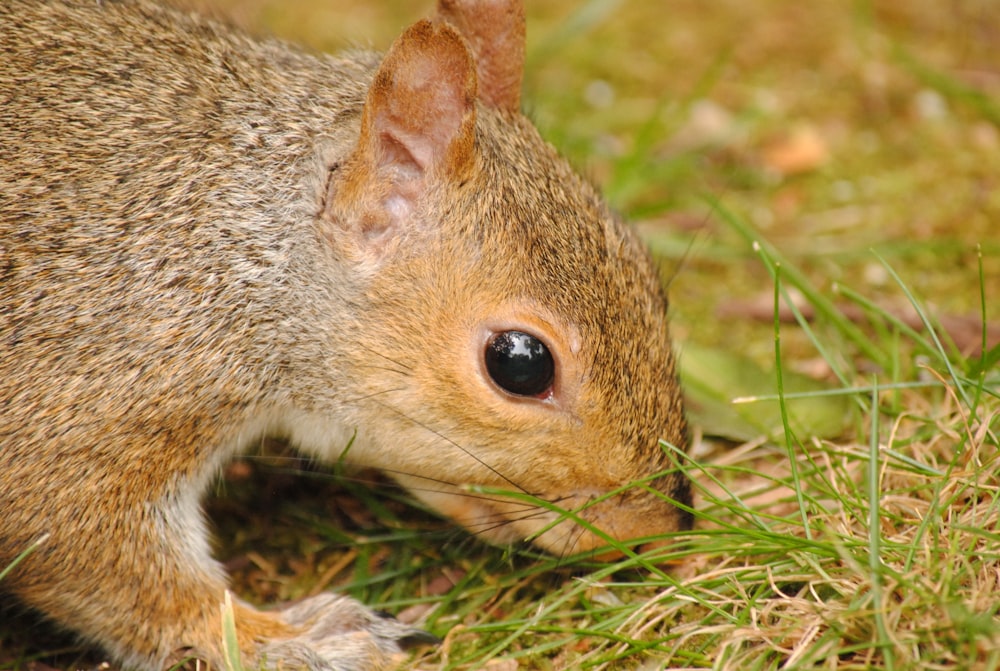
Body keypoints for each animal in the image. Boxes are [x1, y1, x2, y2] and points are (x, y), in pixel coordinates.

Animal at [0, 0, 692, 668]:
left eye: (645, 270)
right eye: (520, 364)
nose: (654, 532)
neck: (233, 252)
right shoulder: (90, 392)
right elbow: (103, 555)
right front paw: (283, 639)